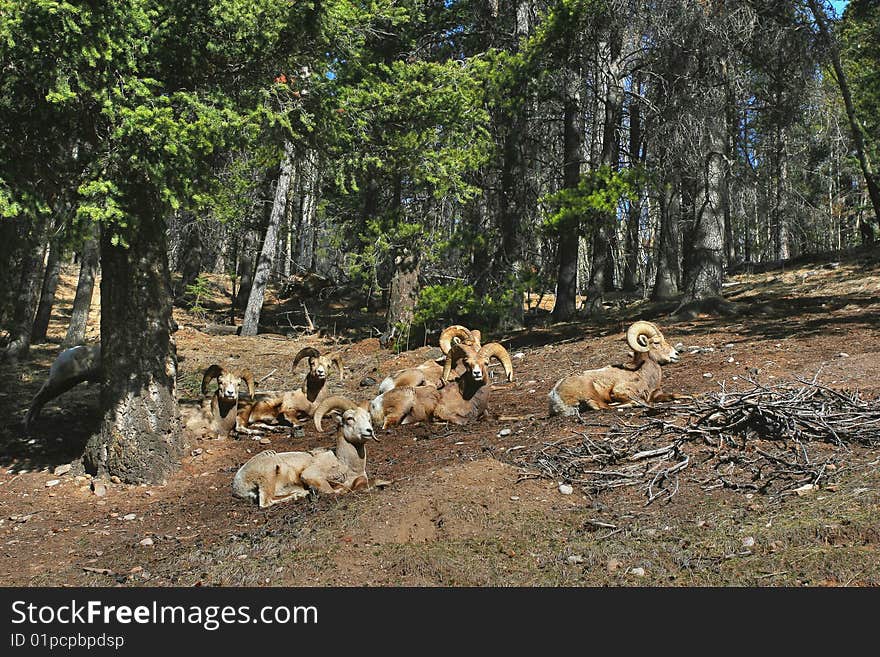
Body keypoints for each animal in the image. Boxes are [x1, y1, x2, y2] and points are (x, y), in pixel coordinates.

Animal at [230, 394, 378, 508]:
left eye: (368, 419)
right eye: (349, 419)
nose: (369, 431)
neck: (346, 464)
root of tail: (238, 483)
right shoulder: (312, 475)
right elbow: (334, 490)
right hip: (268, 476)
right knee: (266, 502)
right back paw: (299, 494)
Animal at [368, 338, 512, 426]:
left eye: (486, 363)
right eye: (467, 363)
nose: (477, 373)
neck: (471, 397)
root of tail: (375, 403)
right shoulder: (443, 412)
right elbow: (463, 420)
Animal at [548, 320, 684, 416]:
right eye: (656, 342)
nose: (676, 354)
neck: (640, 373)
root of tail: (555, 394)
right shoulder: (621, 391)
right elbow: (642, 401)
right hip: (591, 393)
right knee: (603, 405)